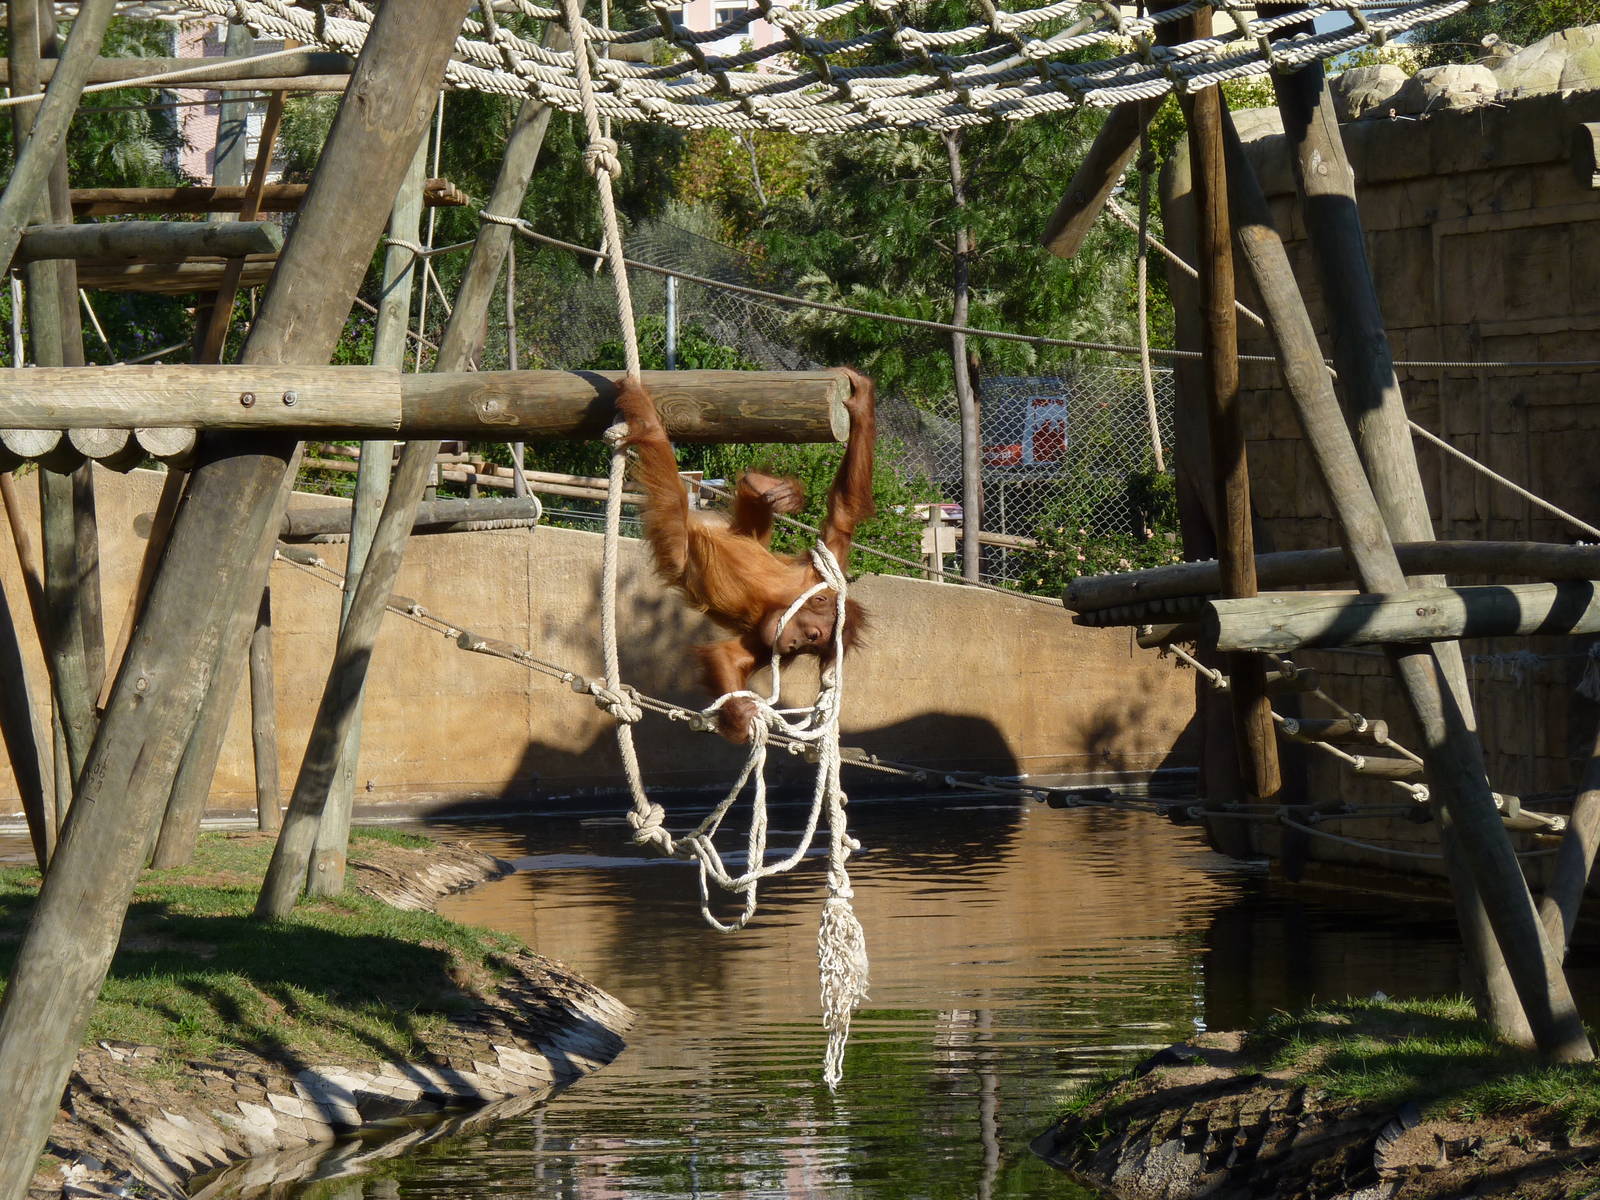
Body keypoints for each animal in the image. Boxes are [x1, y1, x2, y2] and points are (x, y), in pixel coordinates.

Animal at [614, 369, 877, 742]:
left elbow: (730, 655)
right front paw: (861, 401)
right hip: (678, 544)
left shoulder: (775, 630)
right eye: (813, 637)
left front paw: (737, 716)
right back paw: (647, 419)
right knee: (668, 487)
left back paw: (770, 488)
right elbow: (844, 512)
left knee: (749, 521)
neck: (786, 598)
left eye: (809, 649)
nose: (793, 646)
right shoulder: (819, 573)